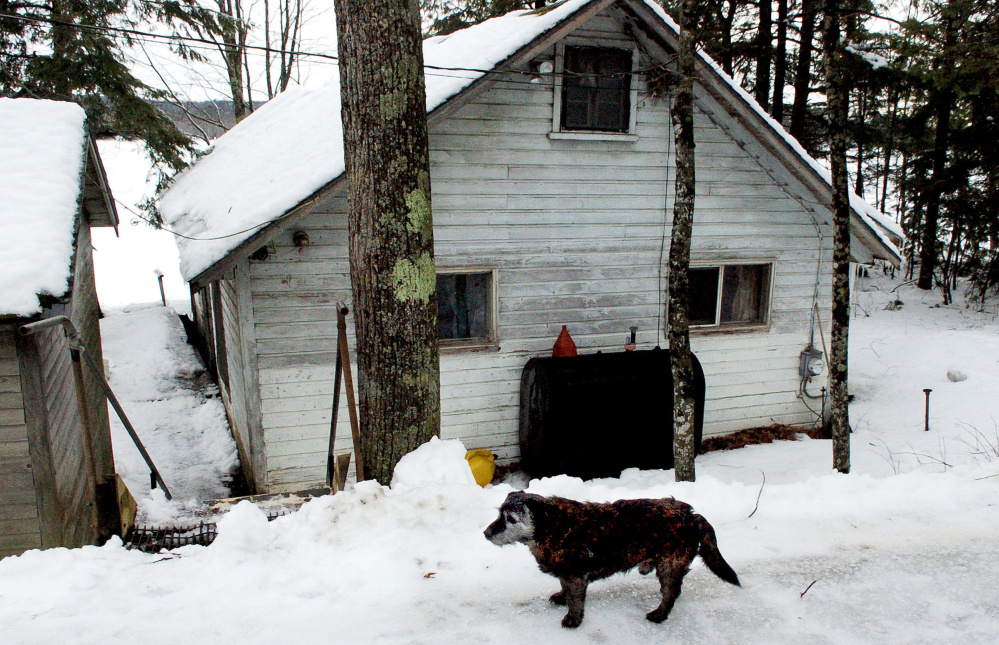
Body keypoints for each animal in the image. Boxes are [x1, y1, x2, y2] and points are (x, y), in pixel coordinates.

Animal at [484, 490, 744, 628]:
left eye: (511, 519)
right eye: (499, 514)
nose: (486, 533)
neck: (550, 527)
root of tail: (692, 516)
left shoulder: (575, 576)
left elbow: (575, 599)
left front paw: (573, 619)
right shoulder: (567, 574)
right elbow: (563, 588)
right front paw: (560, 596)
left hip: (669, 565)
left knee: (671, 593)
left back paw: (659, 614)